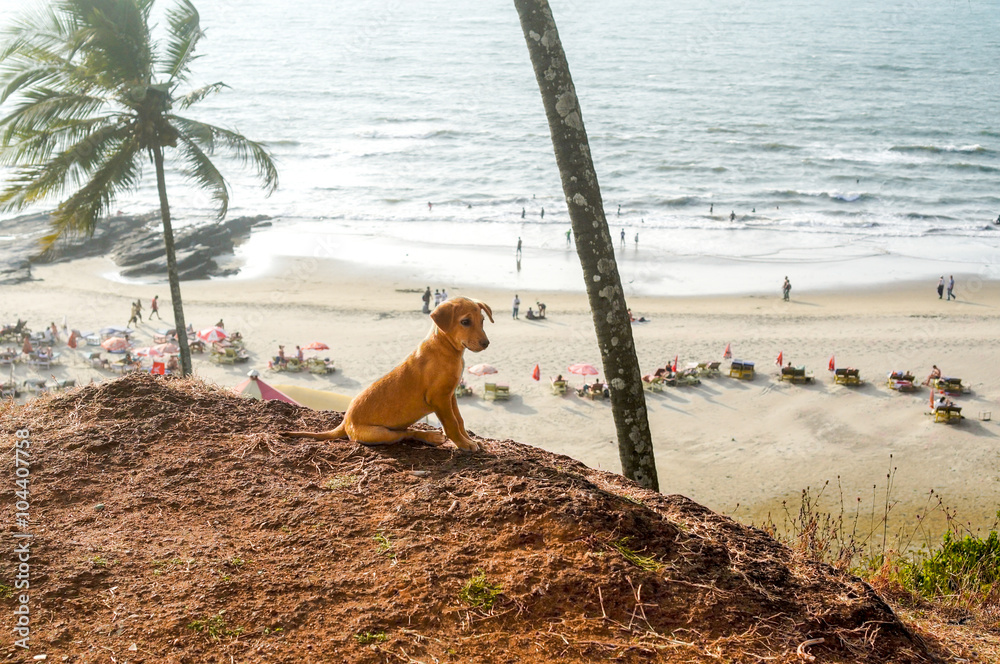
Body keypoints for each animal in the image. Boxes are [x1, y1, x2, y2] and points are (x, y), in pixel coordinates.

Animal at [284, 296, 494, 448]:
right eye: (465, 322)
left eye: (482, 321)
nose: (486, 343)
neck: (445, 349)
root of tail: (345, 422)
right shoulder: (439, 398)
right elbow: (451, 424)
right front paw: (464, 444)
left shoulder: (450, 396)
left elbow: (459, 420)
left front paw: (469, 439)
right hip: (380, 433)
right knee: (405, 434)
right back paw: (430, 437)